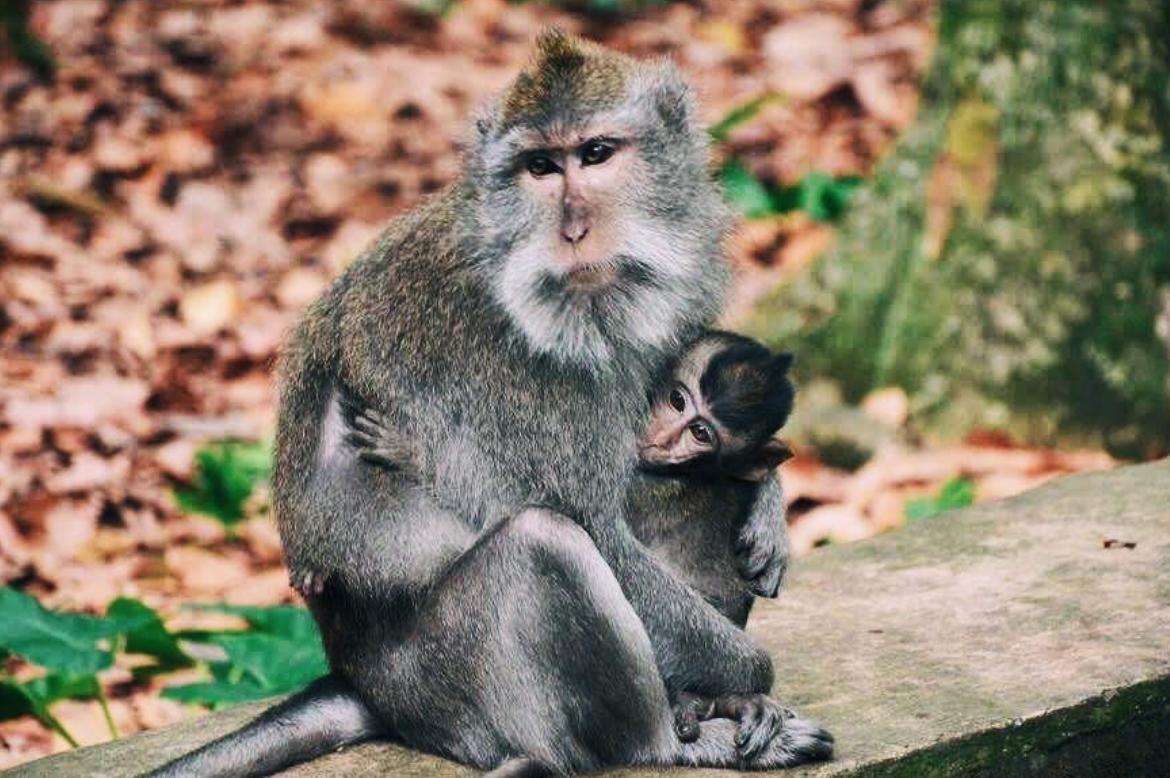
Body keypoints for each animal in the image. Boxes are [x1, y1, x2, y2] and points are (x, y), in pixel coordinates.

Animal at [145, 30, 832, 778]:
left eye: (596, 154)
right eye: (540, 167)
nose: (574, 229)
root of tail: (363, 685)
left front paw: (767, 500)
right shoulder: (504, 370)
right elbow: (598, 529)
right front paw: (748, 678)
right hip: (446, 683)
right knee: (544, 542)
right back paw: (667, 739)